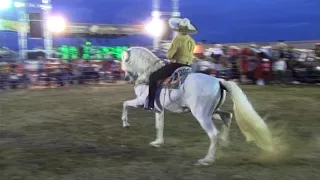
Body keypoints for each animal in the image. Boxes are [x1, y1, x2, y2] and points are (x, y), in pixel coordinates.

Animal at [120, 46, 272, 166]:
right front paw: (157, 142)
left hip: (202, 115)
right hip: (212, 112)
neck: (148, 74)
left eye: (124, 60)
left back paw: (207, 160)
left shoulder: (140, 101)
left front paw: (126, 124)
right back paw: (224, 144)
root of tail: (218, 81)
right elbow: (159, 125)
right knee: (227, 117)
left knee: (214, 133)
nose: (126, 78)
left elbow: (125, 104)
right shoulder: (159, 109)